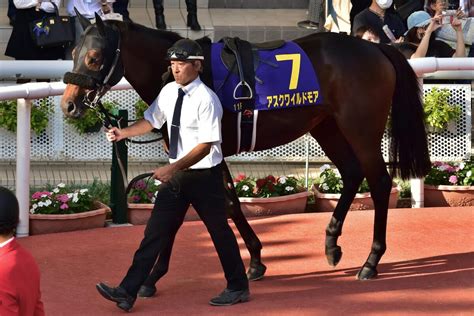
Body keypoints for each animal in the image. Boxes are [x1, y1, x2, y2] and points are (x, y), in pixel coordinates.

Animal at [61, 14, 432, 282]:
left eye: (93, 57)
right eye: (73, 54)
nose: (69, 105)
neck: (182, 77)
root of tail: (377, 50)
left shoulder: (207, 148)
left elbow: (223, 203)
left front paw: (252, 258)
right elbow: (211, 204)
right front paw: (252, 259)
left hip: (361, 128)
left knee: (379, 182)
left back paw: (371, 261)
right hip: (326, 125)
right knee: (352, 173)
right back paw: (331, 244)